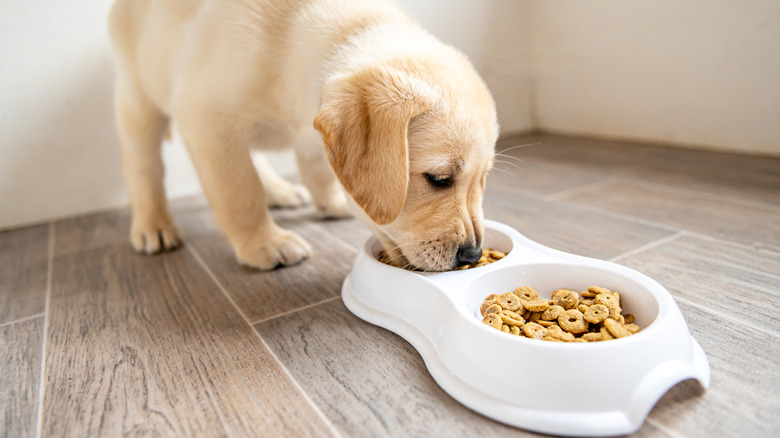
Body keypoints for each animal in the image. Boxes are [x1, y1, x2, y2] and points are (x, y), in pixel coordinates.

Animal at [106, 0, 496, 272]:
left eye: (483, 180)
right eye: (438, 179)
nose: (473, 255)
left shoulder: (313, 128)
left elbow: (318, 167)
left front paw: (331, 201)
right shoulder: (207, 116)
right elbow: (240, 191)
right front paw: (264, 243)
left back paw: (280, 191)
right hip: (137, 97)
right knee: (144, 166)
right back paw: (153, 225)